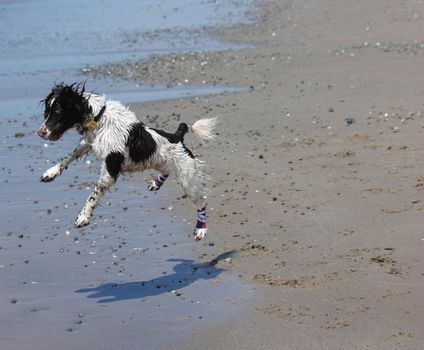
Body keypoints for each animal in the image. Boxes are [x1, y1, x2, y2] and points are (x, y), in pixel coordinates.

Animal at [38, 83, 217, 239]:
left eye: (57, 112)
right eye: (48, 111)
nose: (40, 133)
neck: (99, 120)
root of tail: (177, 137)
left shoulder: (110, 169)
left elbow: (93, 196)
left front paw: (83, 217)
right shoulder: (89, 143)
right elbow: (70, 157)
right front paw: (51, 172)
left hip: (187, 178)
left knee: (202, 202)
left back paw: (201, 230)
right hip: (161, 161)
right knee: (166, 170)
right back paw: (156, 183)